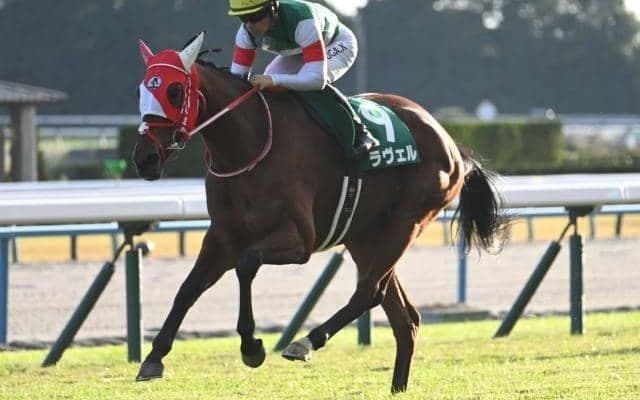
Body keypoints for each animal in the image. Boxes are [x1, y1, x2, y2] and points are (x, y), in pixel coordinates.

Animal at [132, 32, 509, 393]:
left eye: (174, 91)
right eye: (141, 89)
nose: (143, 158)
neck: (250, 147)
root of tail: (449, 140)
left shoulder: (300, 241)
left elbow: (247, 264)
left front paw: (251, 346)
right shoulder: (222, 236)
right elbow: (188, 288)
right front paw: (153, 358)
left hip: (408, 221)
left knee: (370, 292)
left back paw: (305, 342)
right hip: (364, 236)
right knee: (405, 318)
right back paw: (396, 386)